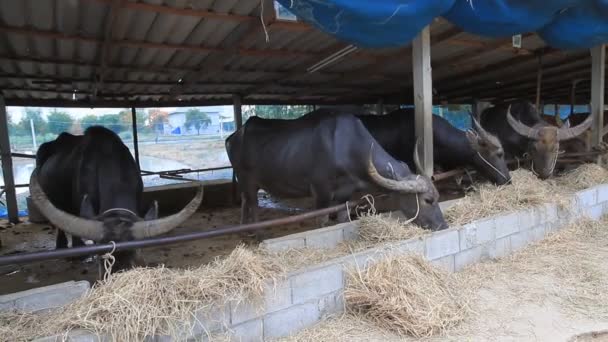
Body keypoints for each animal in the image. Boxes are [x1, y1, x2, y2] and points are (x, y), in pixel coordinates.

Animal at [226, 111, 448, 234]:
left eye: (438, 197)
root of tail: (234, 136)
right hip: (247, 179)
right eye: (428, 200)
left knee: (245, 201)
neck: (346, 146)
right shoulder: (321, 191)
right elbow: (323, 220)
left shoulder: (345, 192)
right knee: (253, 204)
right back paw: (257, 233)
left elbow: (342, 217)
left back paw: (243, 230)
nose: (443, 226)